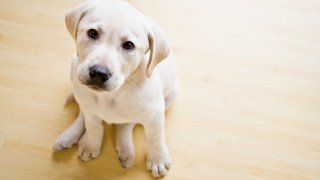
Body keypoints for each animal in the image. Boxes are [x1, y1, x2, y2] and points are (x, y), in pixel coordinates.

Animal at [52, 0, 178, 177]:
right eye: (92, 33)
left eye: (129, 45)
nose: (99, 73)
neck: (114, 94)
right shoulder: (90, 110)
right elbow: (94, 127)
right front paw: (91, 145)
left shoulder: (155, 114)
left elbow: (155, 138)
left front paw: (157, 159)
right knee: (84, 115)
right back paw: (70, 137)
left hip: (171, 96)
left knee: (127, 124)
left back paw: (125, 149)